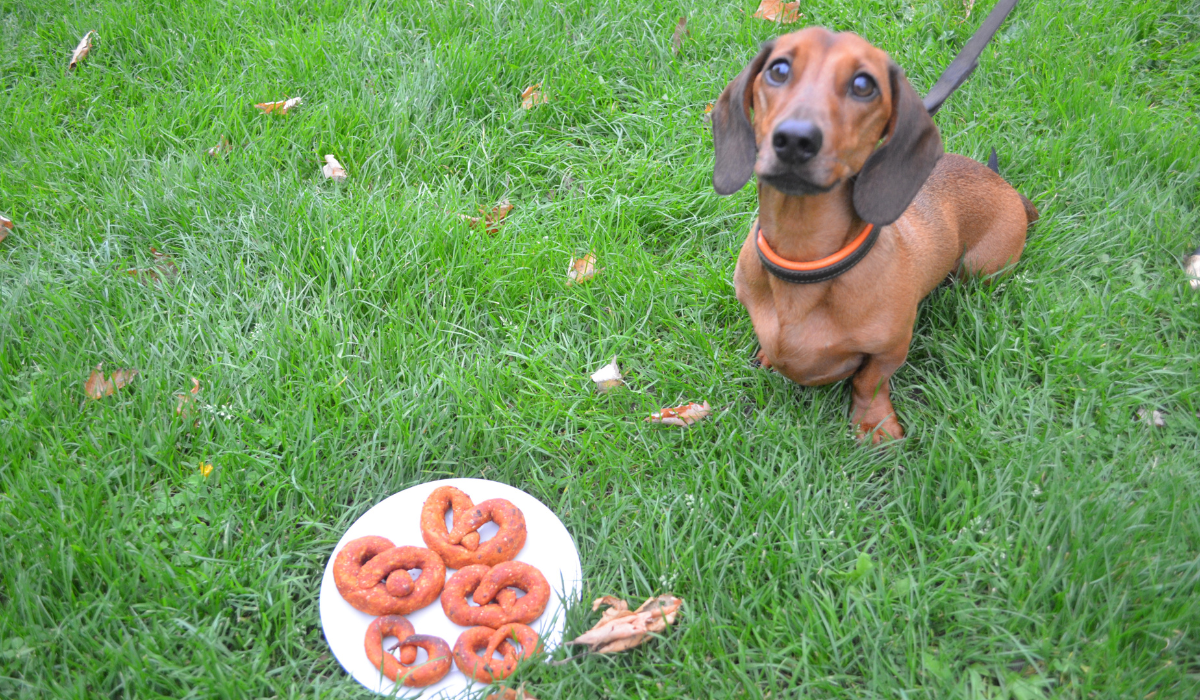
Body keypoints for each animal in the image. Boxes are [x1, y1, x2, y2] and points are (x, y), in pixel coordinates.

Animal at [705, 28, 1036, 444]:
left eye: (864, 85)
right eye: (778, 69)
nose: (795, 140)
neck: (804, 261)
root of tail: (1007, 187)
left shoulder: (891, 349)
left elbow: (869, 381)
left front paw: (873, 424)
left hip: (978, 269)